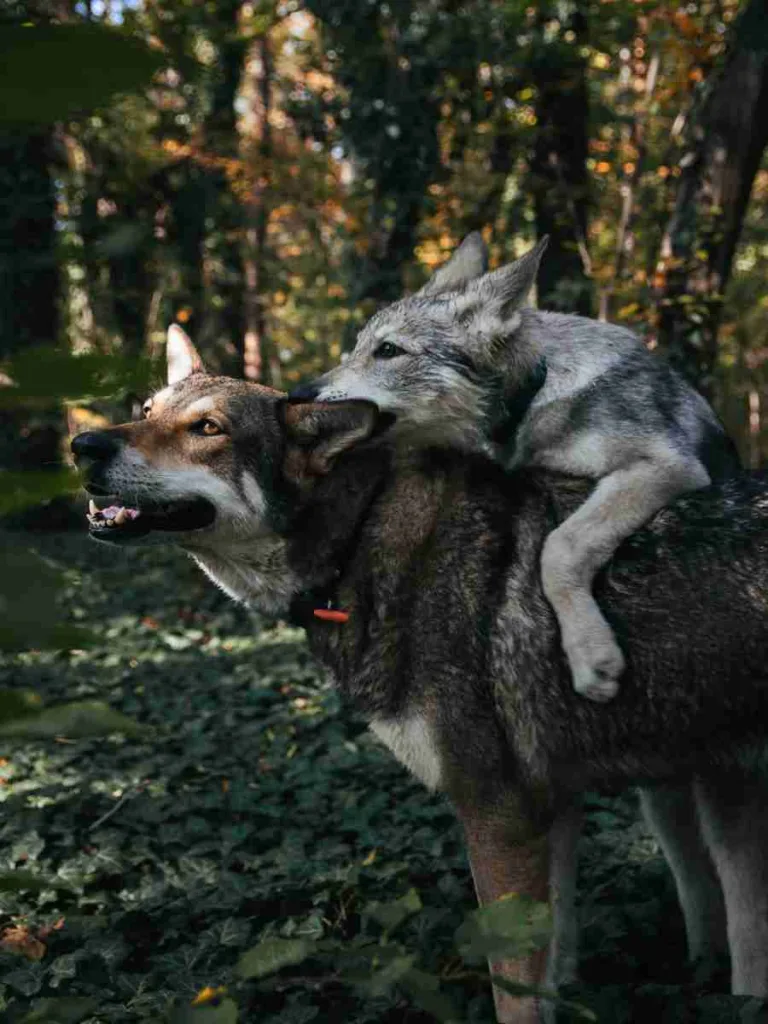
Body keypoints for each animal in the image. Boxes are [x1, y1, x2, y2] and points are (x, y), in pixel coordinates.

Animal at [71, 329, 768, 1024]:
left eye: (207, 428)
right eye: (145, 410)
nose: (84, 446)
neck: (360, 538)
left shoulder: (497, 814)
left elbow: (513, 991)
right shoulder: (553, 808)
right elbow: (551, 964)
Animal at [292, 234, 740, 704]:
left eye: (388, 351)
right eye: (359, 346)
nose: (299, 393)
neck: (536, 387)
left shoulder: (666, 465)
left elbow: (560, 546)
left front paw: (590, 654)